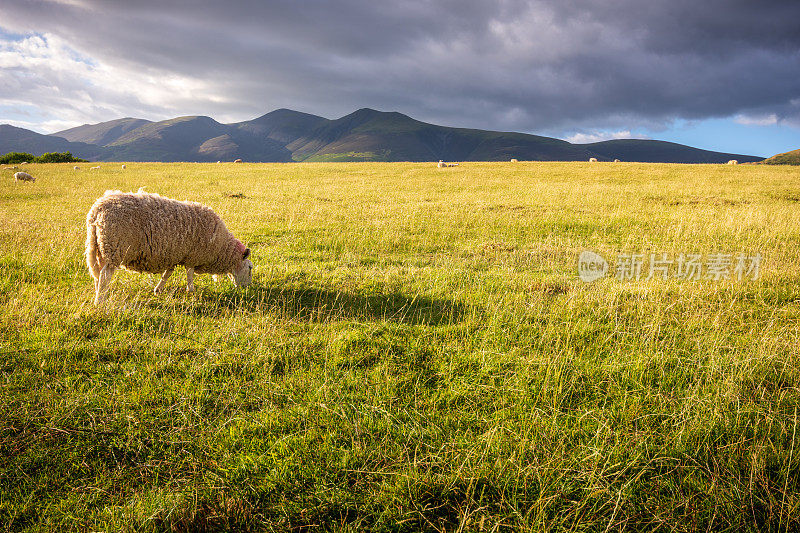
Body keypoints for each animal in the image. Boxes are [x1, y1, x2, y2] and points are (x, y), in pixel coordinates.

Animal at [85, 190, 253, 304]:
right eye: (250, 268)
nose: (247, 289)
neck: (221, 248)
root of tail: (97, 209)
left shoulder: (174, 256)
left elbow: (167, 274)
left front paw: (158, 289)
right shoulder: (192, 256)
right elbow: (190, 274)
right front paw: (191, 291)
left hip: (99, 247)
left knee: (98, 275)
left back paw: (99, 294)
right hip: (115, 247)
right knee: (105, 275)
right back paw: (100, 301)